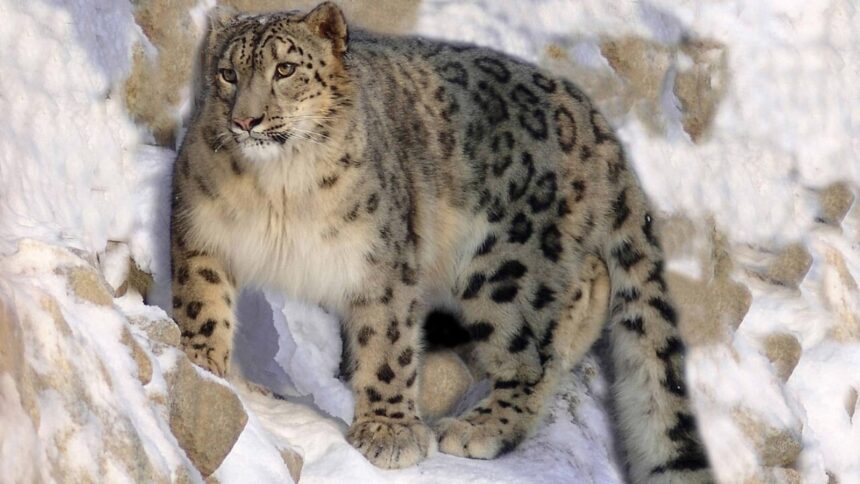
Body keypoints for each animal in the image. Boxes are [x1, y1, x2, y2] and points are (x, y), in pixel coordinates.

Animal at [169, 2, 713, 482]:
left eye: (284, 68)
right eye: (227, 73)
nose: (246, 121)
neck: (278, 191)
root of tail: (596, 123)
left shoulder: (383, 261)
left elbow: (387, 343)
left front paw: (388, 431)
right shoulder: (200, 229)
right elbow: (202, 302)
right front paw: (205, 366)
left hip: (509, 269)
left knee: (532, 350)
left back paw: (480, 428)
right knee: (587, 287)